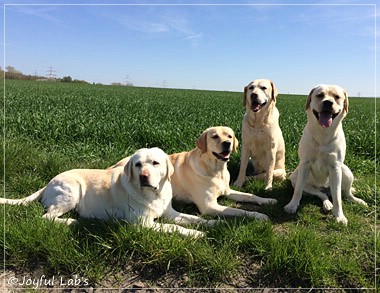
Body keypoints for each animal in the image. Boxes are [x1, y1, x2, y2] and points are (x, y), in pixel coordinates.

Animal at [1, 147, 212, 236]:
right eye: (137, 164)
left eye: (155, 163)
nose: (143, 177)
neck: (154, 195)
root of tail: (48, 183)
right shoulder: (142, 223)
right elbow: (173, 227)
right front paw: (195, 234)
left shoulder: (170, 212)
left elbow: (193, 218)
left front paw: (212, 224)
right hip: (72, 191)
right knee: (47, 218)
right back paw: (73, 221)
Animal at [109, 126, 276, 220]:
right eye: (214, 136)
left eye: (229, 136)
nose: (227, 144)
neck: (216, 171)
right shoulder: (209, 206)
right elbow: (237, 210)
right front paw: (258, 215)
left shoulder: (227, 191)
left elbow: (250, 196)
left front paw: (268, 200)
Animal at [284, 84, 366, 224]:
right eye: (320, 95)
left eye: (337, 97)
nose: (328, 102)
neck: (323, 133)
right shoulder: (304, 165)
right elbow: (298, 191)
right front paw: (292, 205)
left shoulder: (335, 167)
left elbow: (338, 197)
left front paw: (340, 216)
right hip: (295, 177)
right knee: (321, 194)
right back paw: (327, 204)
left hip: (346, 171)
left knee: (345, 193)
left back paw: (357, 201)